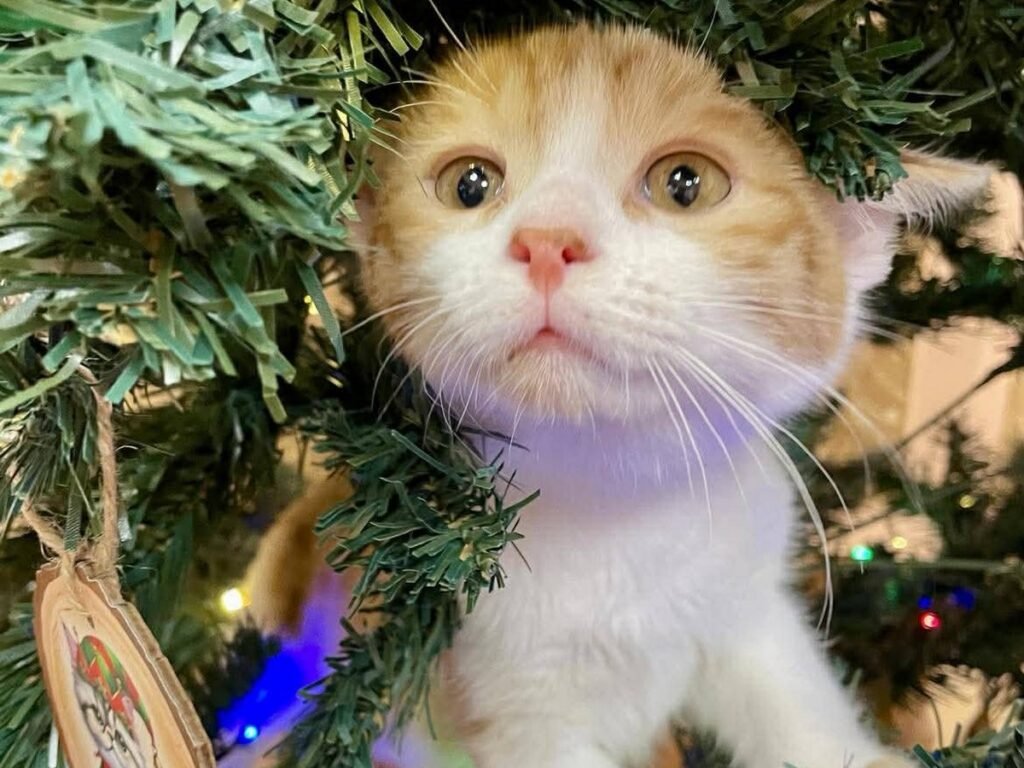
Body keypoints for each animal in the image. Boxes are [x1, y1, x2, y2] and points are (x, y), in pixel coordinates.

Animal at [246, 23, 993, 768]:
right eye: (469, 183)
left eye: (685, 183)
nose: (547, 242)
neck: (614, 500)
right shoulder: (516, 710)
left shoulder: (745, 596)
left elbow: (787, 689)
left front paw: (857, 753)